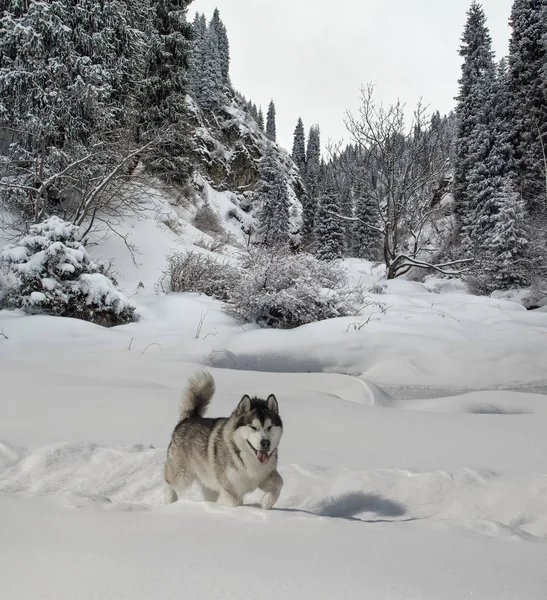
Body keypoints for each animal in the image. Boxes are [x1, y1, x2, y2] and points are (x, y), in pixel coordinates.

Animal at [165, 372, 284, 508]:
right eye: (253, 427)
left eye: (269, 427)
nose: (265, 443)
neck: (248, 460)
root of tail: (188, 418)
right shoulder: (231, 490)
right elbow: (236, 504)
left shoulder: (263, 475)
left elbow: (280, 482)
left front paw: (267, 501)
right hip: (182, 475)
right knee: (169, 482)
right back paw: (170, 501)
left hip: (209, 484)